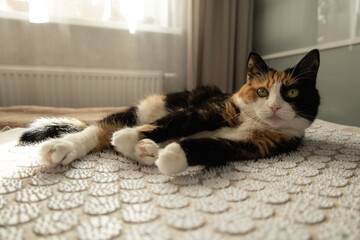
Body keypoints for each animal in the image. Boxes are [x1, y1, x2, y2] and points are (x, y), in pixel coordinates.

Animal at [19, 49, 320, 174]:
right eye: (261, 92)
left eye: (292, 93)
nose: (274, 107)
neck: (253, 123)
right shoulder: (210, 109)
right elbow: (173, 123)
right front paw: (130, 137)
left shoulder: (256, 146)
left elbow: (213, 147)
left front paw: (173, 157)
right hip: (149, 107)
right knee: (100, 128)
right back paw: (63, 147)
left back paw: (148, 152)